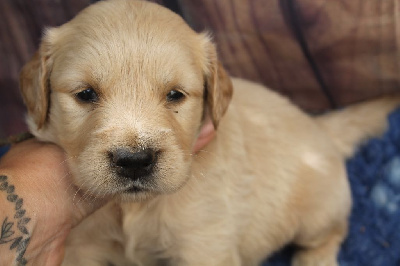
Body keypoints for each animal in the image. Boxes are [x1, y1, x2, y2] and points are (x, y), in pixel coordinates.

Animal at [19, 0, 400, 266]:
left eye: (175, 95)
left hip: (319, 210)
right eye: (85, 94)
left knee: (333, 232)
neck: (133, 210)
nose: (135, 161)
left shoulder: (204, 242)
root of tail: (319, 125)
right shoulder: (81, 246)